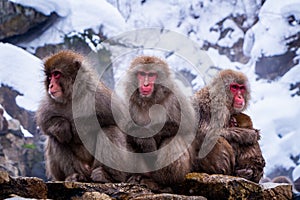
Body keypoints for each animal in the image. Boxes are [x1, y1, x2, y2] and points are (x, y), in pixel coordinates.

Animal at [35, 50, 128, 183]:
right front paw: (61, 126)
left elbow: (121, 118)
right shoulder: (50, 101)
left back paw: (107, 175)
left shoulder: (98, 94)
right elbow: (44, 121)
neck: (72, 96)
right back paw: (74, 176)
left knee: (110, 129)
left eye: (56, 74)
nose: (50, 86)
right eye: (49, 77)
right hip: (78, 166)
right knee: (54, 138)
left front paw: (77, 126)